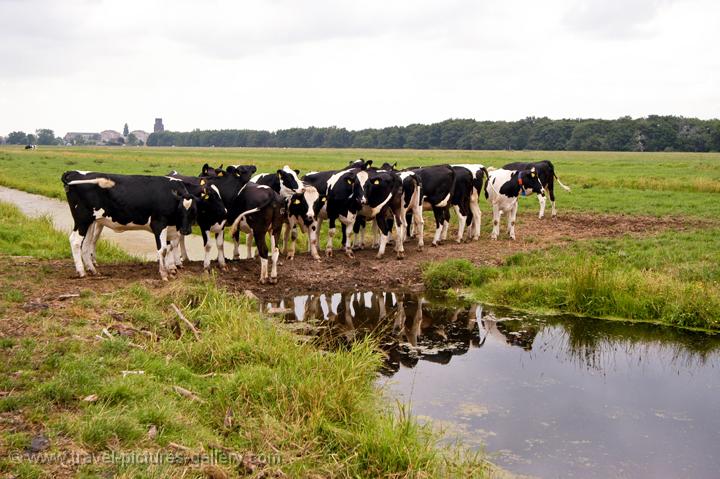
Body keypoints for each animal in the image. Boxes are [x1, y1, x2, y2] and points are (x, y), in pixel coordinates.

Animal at [62, 171, 195, 280]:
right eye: (180, 210)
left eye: (193, 211)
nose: (186, 230)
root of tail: (73, 172)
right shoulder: (159, 224)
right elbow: (162, 250)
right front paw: (164, 274)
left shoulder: (169, 227)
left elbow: (169, 247)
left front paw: (171, 270)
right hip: (82, 220)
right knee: (75, 241)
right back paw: (81, 272)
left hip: (91, 221)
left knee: (86, 244)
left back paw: (93, 270)